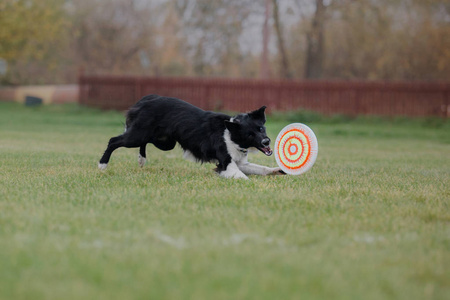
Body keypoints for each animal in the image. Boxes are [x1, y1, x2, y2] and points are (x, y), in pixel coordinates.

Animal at [99, 94, 284, 178]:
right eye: (250, 134)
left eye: (261, 128)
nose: (266, 141)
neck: (230, 133)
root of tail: (147, 100)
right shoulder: (226, 164)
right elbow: (242, 176)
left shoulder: (240, 162)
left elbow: (262, 169)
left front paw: (278, 170)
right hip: (137, 135)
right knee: (114, 141)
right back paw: (102, 164)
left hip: (164, 142)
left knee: (145, 142)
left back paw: (141, 159)